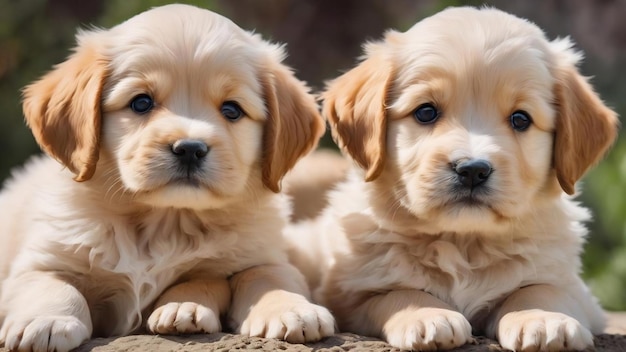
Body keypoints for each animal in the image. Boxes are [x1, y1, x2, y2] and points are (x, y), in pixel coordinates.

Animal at [0, 3, 336, 352]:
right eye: (141, 103)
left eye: (232, 110)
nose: (190, 149)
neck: (166, 221)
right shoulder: (42, 258)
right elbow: (50, 285)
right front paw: (46, 321)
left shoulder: (265, 254)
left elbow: (266, 277)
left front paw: (291, 310)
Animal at [290, 6, 616, 352]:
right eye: (425, 112)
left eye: (520, 119)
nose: (472, 170)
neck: (464, 243)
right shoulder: (350, 293)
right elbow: (398, 292)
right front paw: (429, 316)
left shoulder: (576, 291)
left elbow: (538, 289)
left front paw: (542, 319)